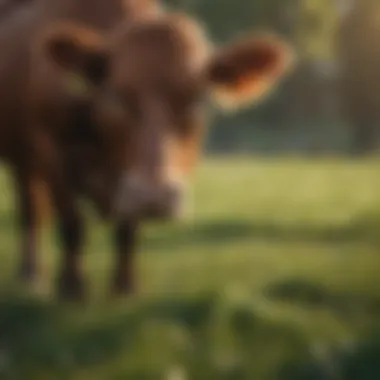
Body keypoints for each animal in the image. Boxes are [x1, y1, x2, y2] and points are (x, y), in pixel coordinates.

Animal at [0, 2, 294, 300]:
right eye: (117, 95)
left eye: (196, 99)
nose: (155, 196)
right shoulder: (52, 153)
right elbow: (73, 225)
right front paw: (72, 288)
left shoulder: (127, 186)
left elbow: (128, 228)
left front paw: (125, 286)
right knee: (32, 208)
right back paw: (31, 274)